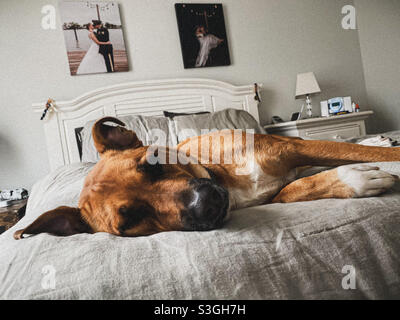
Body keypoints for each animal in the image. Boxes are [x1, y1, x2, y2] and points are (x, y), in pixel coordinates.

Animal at [13, 116, 400, 239]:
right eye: (131, 220)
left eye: (153, 163)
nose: (206, 204)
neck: (222, 174)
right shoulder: (279, 186)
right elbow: (296, 190)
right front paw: (355, 180)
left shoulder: (291, 147)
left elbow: (374, 156)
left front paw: (378, 156)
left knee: (346, 144)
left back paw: (377, 139)